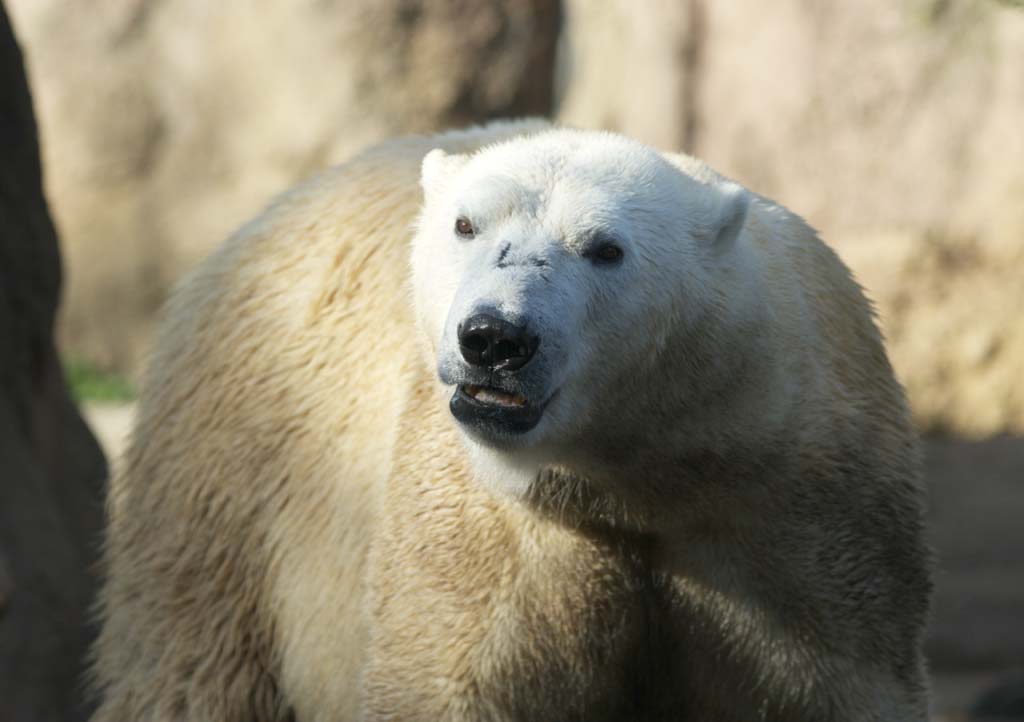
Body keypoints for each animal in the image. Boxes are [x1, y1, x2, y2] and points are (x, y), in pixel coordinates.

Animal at [92, 120, 933, 716]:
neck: (642, 471)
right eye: (466, 225)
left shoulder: (796, 516)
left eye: (605, 248)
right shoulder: (496, 536)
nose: (495, 338)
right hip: (235, 475)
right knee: (192, 665)